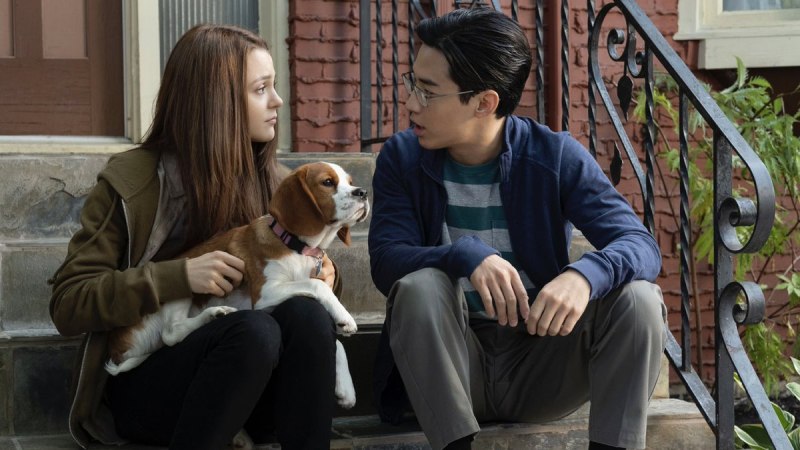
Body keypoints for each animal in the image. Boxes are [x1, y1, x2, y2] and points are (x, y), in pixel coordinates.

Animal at [105, 161, 370, 409]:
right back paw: (214, 314)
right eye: (328, 182)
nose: (363, 192)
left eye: (350, 181)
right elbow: (317, 286)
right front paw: (345, 317)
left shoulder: (272, 305)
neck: (297, 246)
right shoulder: (265, 294)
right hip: (185, 279)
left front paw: (346, 388)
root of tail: (119, 343)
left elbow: (335, 341)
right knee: (171, 332)